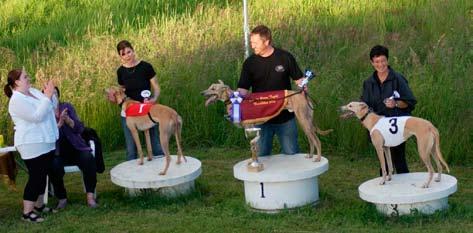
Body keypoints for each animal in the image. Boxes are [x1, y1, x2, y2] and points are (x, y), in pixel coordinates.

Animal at [200, 80, 332, 162]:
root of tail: (303, 94)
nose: (201, 93)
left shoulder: (250, 127)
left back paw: (318, 158)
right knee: (311, 141)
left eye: (213, 88)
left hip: (304, 121)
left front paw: (253, 161)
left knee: (317, 141)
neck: (234, 100)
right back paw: (310, 155)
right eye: (209, 87)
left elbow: (253, 146)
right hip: (305, 123)